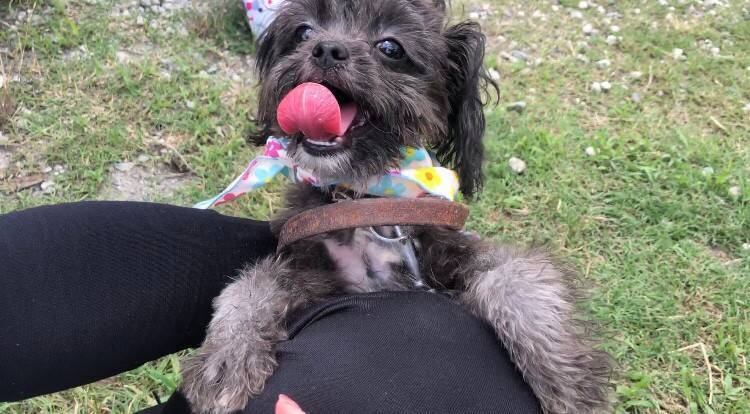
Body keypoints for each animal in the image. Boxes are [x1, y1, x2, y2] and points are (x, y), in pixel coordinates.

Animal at [181, 0, 611, 412]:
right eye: (303, 31)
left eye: (391, 47)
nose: (325, 48)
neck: (362, 199)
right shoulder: (314, 274)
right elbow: (251, 284)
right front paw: (227, 357)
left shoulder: (458, 252)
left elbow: (519, 277)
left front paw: (569, 381)